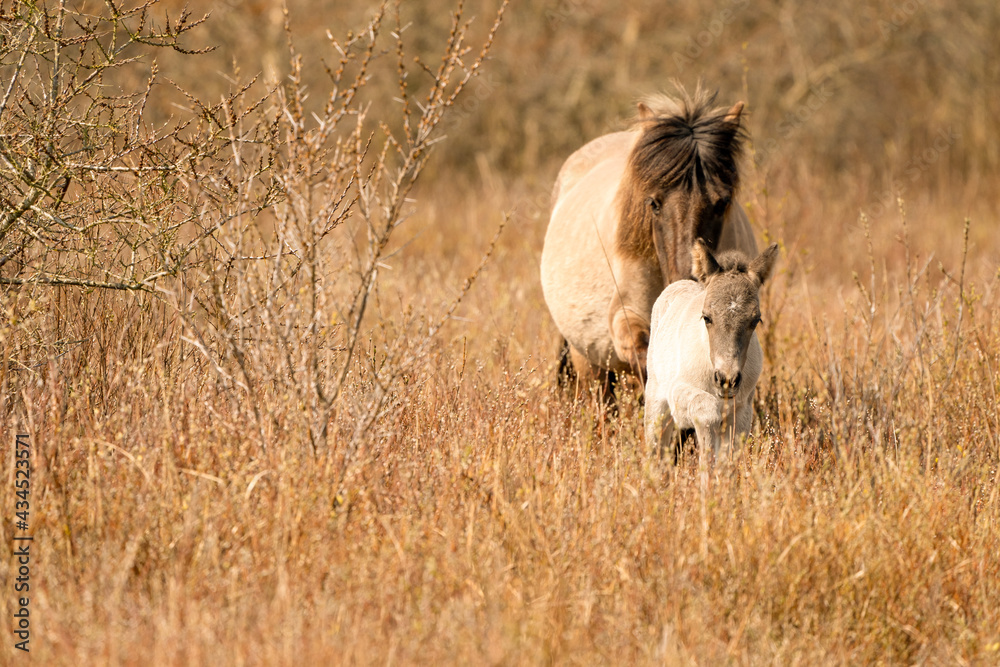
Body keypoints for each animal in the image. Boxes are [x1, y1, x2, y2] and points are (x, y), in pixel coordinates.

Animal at [644, 239, 778, 459]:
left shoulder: (741, 413)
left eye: (755, 320)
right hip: (656, 401)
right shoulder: (678, 392)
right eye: (706, 317)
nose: (727, 380)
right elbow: (706, 415)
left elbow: (727, 460)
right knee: (656, 446)